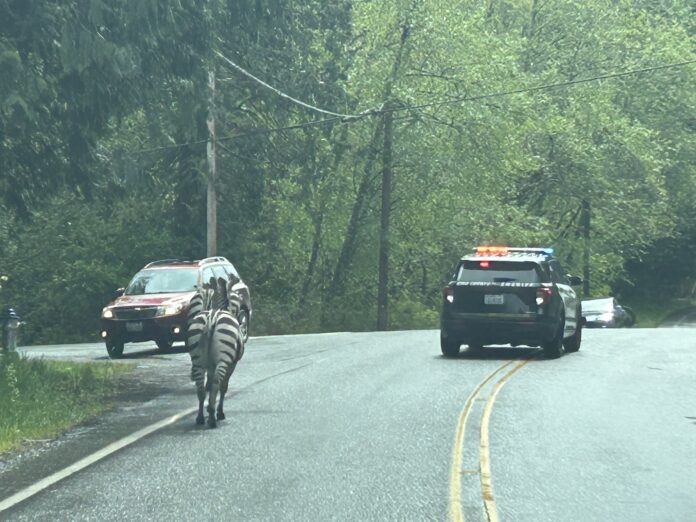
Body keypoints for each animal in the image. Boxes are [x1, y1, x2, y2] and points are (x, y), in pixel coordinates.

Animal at [186, 278, 243, 424]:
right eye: (236, 302)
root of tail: (211, 318)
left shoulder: (210, 365)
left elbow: (209, 384)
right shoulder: (232, 364)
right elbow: (223, 387)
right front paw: (220, 412)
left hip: (198, 360)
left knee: (201, 388)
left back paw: (201, 417)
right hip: (224, 358)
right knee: (218, 382)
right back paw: (212, 417)